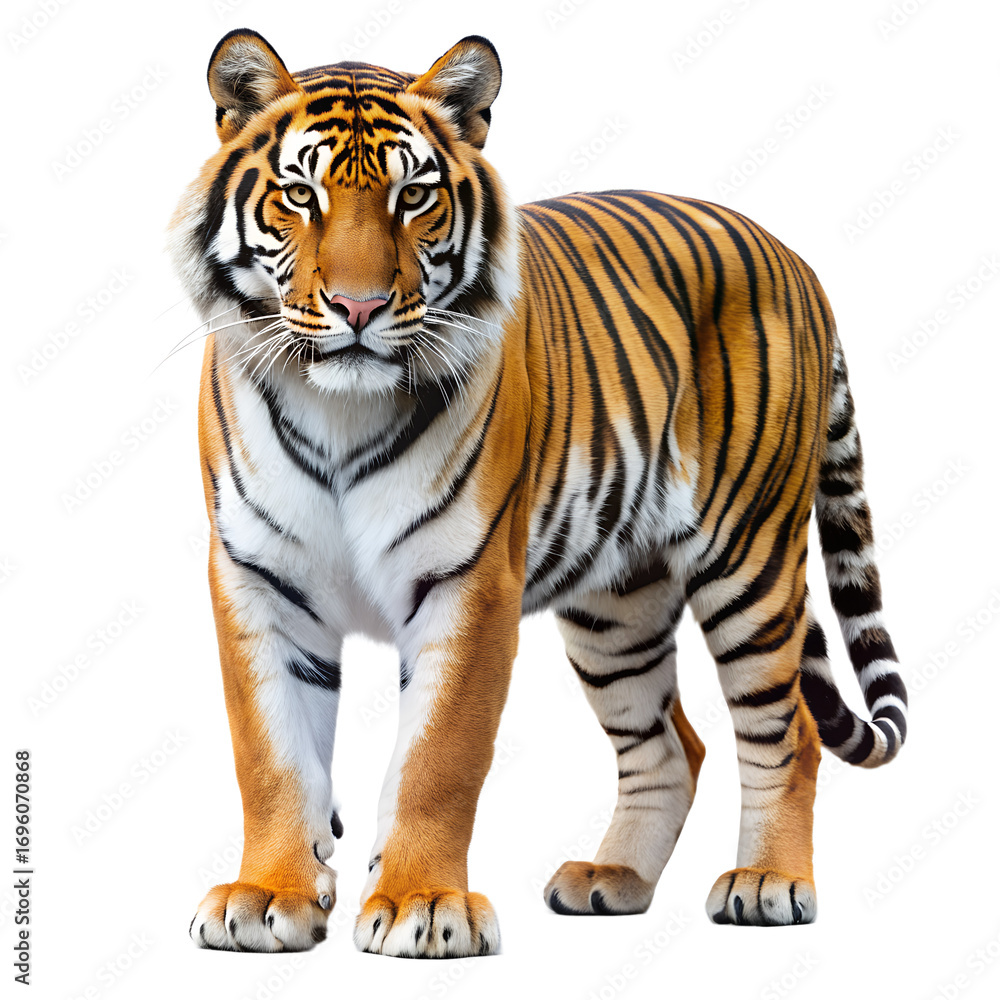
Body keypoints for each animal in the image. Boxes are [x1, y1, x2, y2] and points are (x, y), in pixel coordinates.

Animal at [169, 29, 908, 957]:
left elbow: (440, 757)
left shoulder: (469, 580)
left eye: (414, 196)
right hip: (617, 604)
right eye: (299, 195)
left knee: (789, 731)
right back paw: (611, 880)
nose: (359, 307)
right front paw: (267, 895)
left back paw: (768, 882)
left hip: (750, 556)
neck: (338, 409)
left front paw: (422, 905)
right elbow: (269, 754)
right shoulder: (256, 575)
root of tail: (793, 254)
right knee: (671, 747)